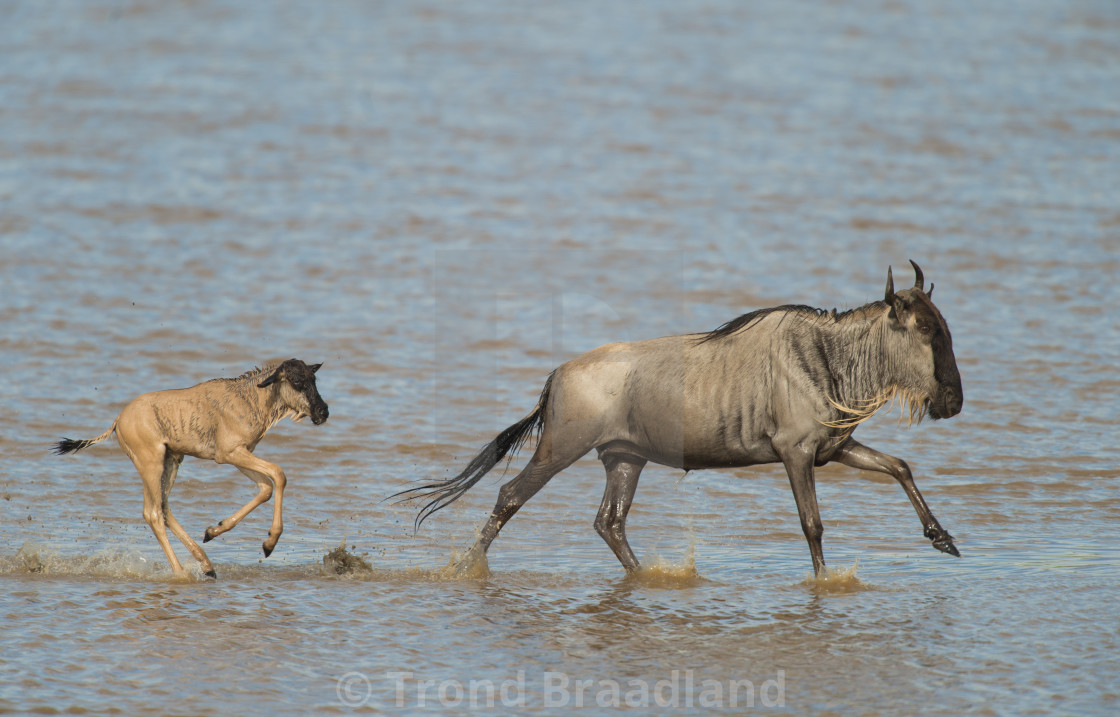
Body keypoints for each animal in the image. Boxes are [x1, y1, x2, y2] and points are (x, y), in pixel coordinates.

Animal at [52, 358, 327, 578]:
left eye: (314, 378)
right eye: (296, 380)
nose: (323, 412)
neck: (252, 397)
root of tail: (118, 420)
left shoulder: (239, 455)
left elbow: (266, 487)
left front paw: (213, 531)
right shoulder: (229, 453)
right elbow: (279, 475)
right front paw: (269, 544)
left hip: (172, 461)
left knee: (164, 508)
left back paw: (207, 565)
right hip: (150, 462)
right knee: (152, 513)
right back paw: (182, 573)